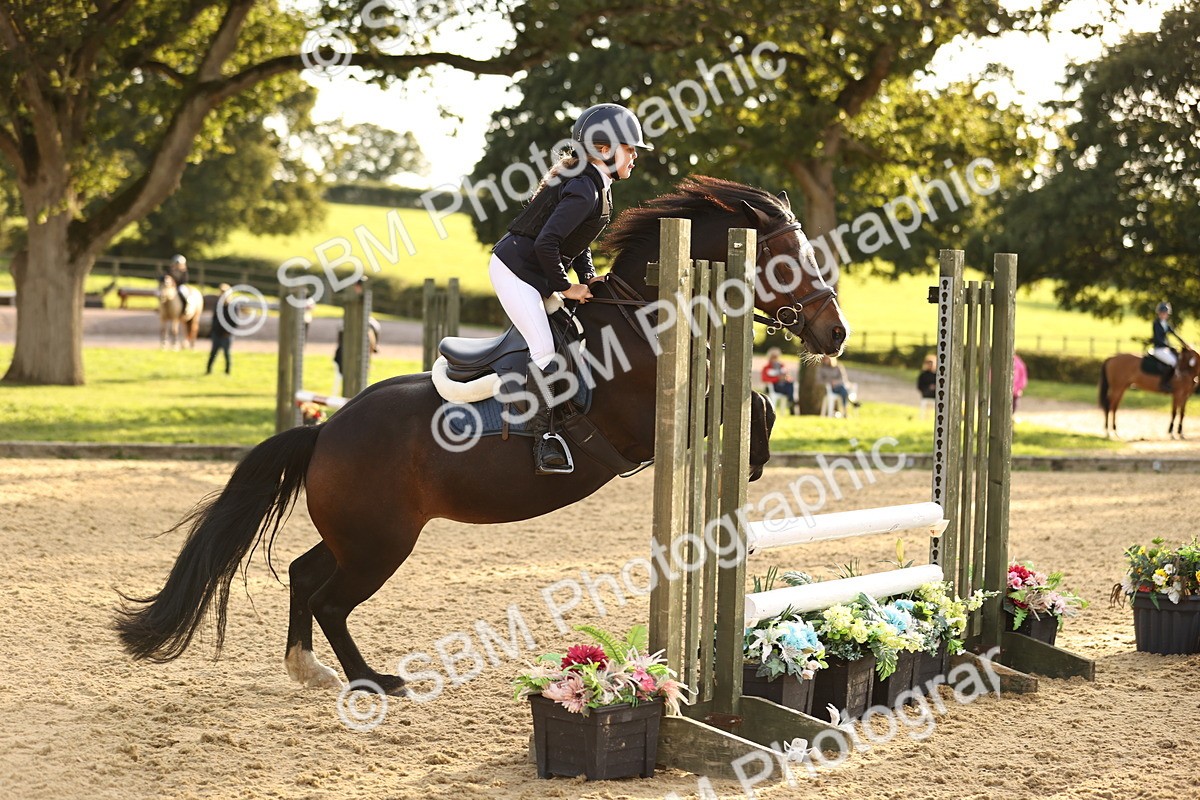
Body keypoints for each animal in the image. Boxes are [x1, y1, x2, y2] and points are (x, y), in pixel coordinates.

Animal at [114, 176, 850, 696]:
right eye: (787, 258)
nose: (836, 333)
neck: (644, 315)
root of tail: (324, 434)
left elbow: (753, 398)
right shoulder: (649, 420)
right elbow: (752, 399)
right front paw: (754, 461)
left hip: (360, 535)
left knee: (303, 574)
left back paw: (310, 669)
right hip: (382, 544)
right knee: (330, 600)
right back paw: (370, 680)